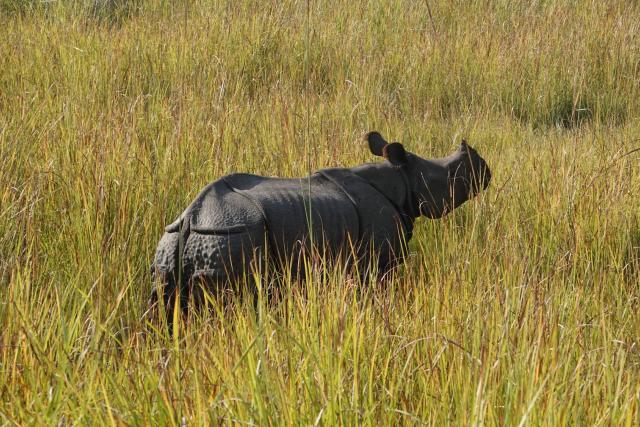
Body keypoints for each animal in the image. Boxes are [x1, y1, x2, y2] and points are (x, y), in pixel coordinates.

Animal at [148, 132, 491, 320]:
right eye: (447, 176)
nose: (484, 167)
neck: (402, 182)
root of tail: (193, 218)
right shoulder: (376, 264)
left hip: (173, 245)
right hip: (232, 237)